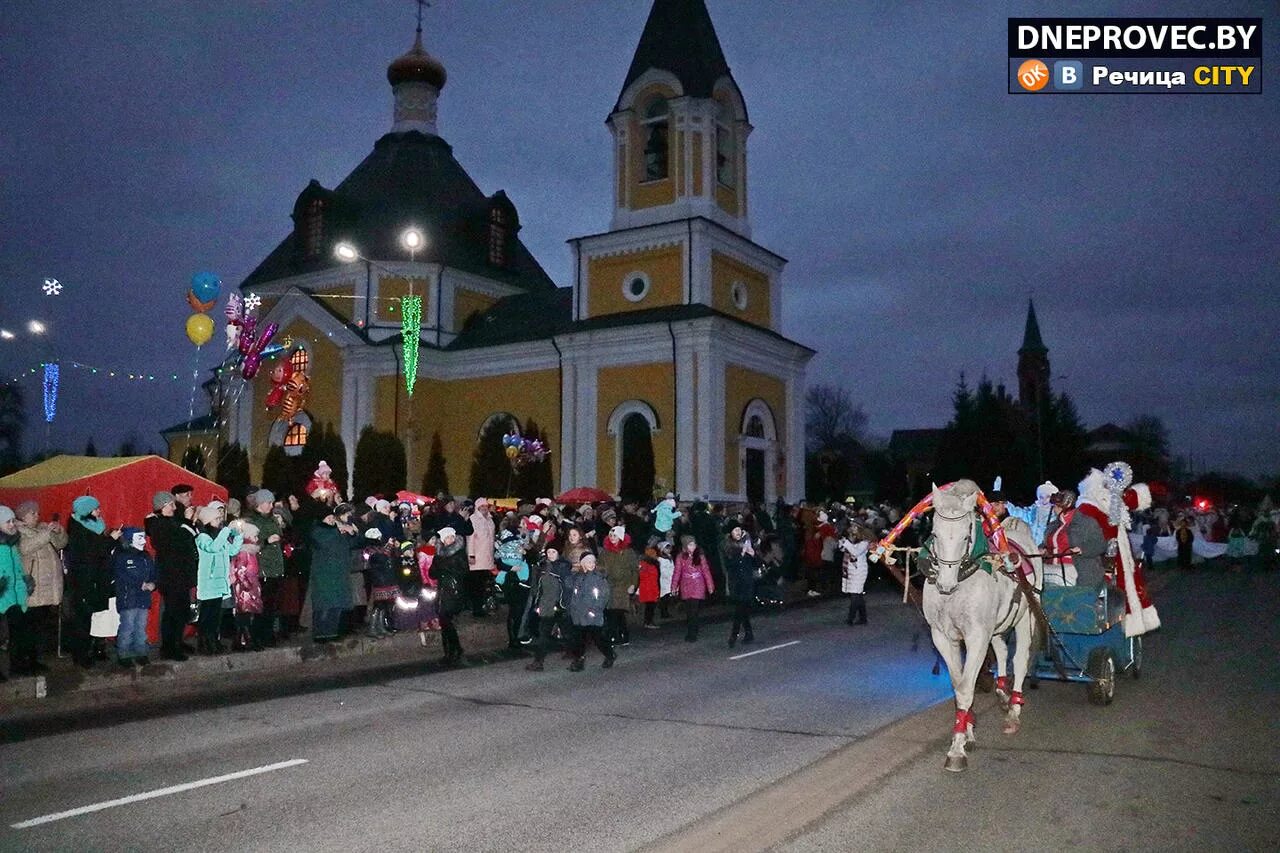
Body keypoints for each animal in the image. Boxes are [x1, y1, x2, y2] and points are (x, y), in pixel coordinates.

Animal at [921, 479, 1039, 768]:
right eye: (935, 534)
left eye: (965, 536)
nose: (945, 584)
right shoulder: (943, 637)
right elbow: (959, 684)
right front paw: (967, 730)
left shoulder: (976, 636)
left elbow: (965, 688)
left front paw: (957, 749)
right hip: (995, 627)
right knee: (1002, 650)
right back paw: (1003, 693)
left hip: (1025, 617)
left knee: (1020, 658)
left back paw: (1014, 711)